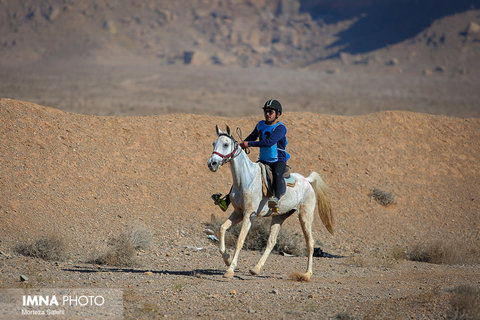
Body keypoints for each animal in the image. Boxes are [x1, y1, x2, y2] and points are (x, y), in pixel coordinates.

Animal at [206, 125, 334, 280]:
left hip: (305, 216)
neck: (246, 179)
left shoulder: (249, 214)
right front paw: (227, 259)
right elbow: (222, 229)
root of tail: (307, 181)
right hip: (279, 217)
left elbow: (240, 240)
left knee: (310, 242)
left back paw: (307, 274)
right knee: (271, 242)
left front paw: (230, 269)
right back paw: (256, 269)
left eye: (225, 144)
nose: (212, 164)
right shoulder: (238, 212)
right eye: (213, 143)